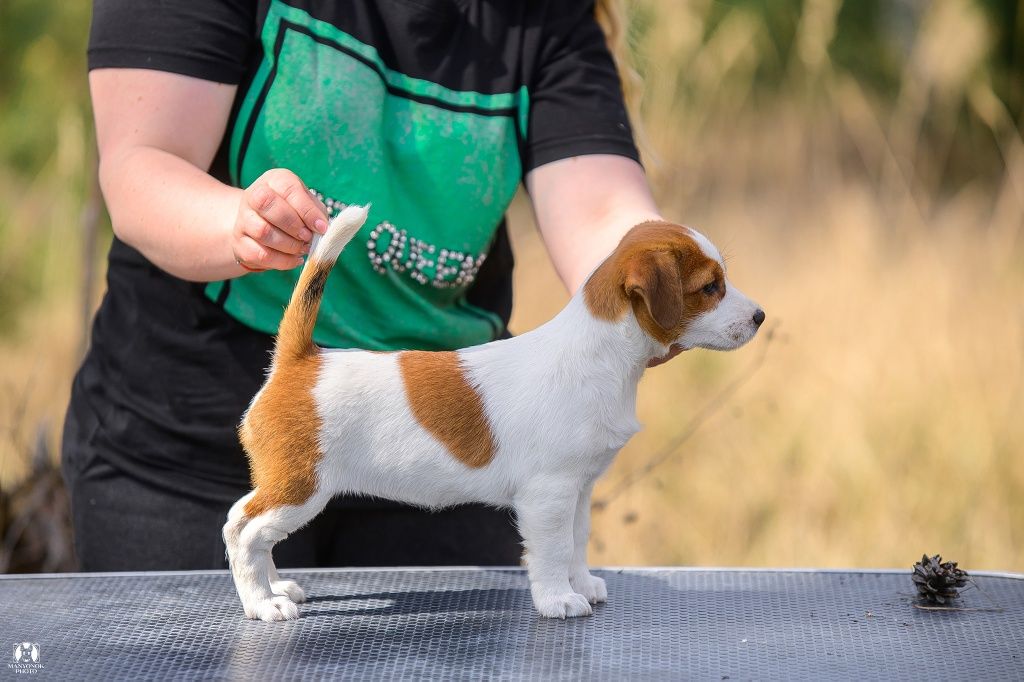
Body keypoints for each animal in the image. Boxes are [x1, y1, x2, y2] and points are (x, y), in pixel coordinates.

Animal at [226, 204, 770, 618]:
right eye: (710, 287)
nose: (761, 316)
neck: (600, 354)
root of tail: (300, 360)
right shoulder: (547, 495)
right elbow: (551, 550)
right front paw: (558, 600)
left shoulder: (579, 489)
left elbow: (577, 541)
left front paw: (582, 583)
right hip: (302, 487)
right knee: (246, 532)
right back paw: (263, 604)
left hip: (282, 485)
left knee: (243, 522)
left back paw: (276, 587)